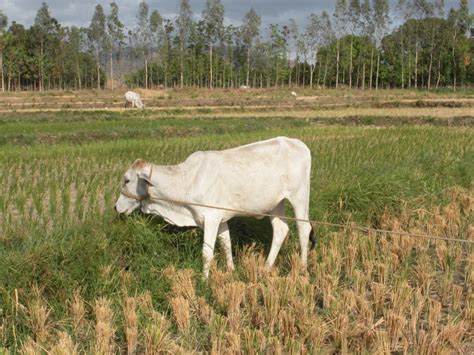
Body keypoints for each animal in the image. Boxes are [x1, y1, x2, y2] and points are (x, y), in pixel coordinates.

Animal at [115, 136, 314, 278]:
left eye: (127, 180)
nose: (116, 207)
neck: (188, 180)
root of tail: (298, 143)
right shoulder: (220, 219)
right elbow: (226, 244)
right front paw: (231, 271)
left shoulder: (210, 219)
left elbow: (206, 253)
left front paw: (204, 281)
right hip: (275, 204)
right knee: (280, 229)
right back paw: (265, 268)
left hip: (299, 198)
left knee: (304, 229)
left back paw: (303, 269)